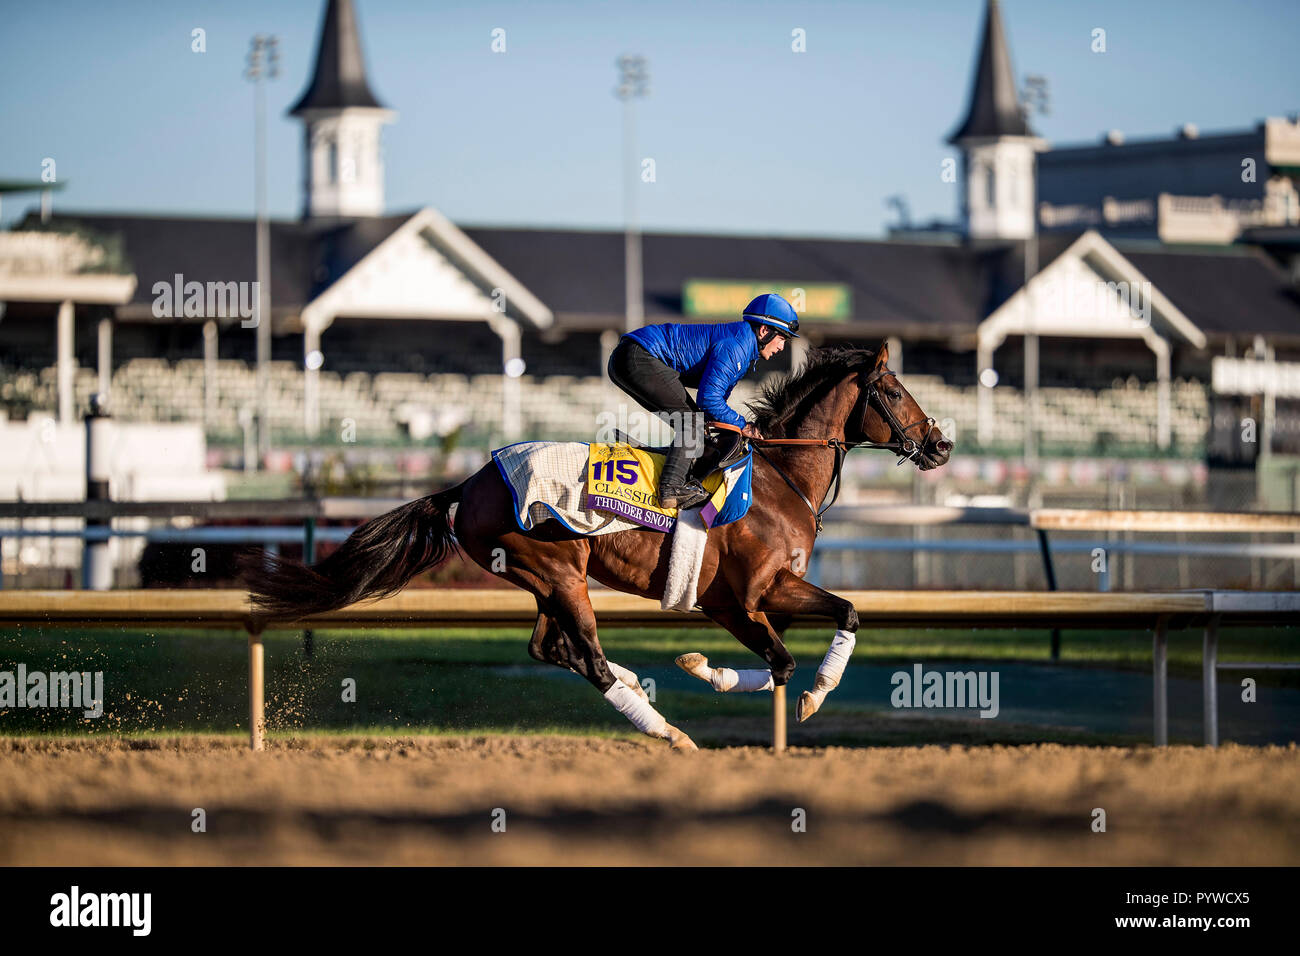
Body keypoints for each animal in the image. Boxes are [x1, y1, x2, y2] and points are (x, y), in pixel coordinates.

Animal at [244, 340, 951, 749]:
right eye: (893, 391)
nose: (941, 445)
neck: (780, 477)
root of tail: (469, 482)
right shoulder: (750, 595)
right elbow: (801, 647)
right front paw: (786, 688)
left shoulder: (750, 598)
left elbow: (813, 636)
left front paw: (732, 674)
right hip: (558, 572)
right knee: (587, 657)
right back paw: (666, 729)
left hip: (548, 579)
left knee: (553, 648)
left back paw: (640, 688)